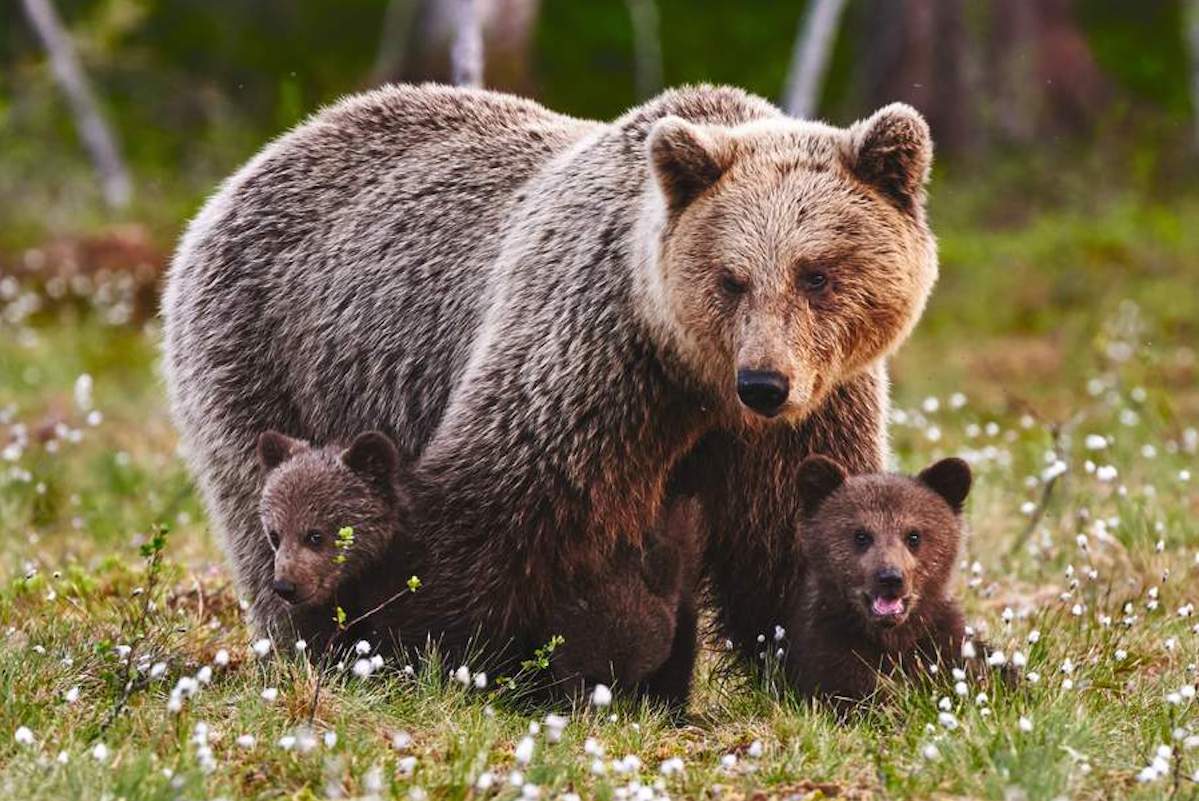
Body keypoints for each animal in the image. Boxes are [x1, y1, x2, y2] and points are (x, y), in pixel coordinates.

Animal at [166, 82, 935, 695]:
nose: (765, 384)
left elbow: (794, 532)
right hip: (268, 350)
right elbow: (494, 511)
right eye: (730, 278)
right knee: (264, 499)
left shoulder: (805, 414)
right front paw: (422, 649)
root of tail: (258, 161)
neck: (691, 376)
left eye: (817, 274)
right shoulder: (590, 360)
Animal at [791, 453, 968, 705]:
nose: (890, 577)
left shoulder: (943, 639)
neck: (892, 637)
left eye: (914, 536)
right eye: (861, 535)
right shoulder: (831, 647)